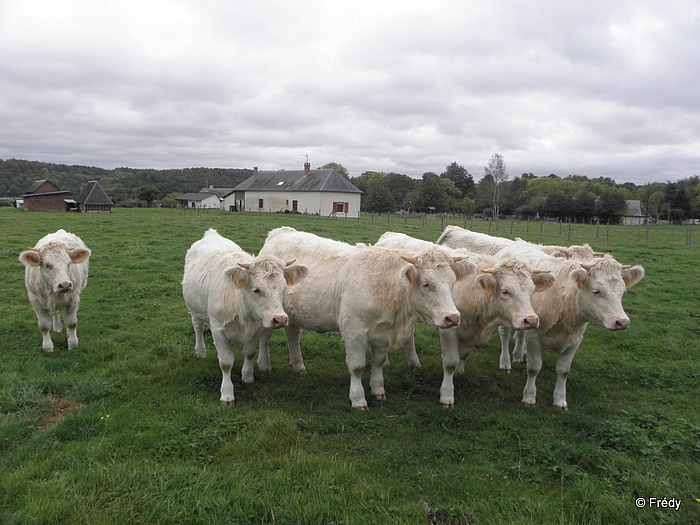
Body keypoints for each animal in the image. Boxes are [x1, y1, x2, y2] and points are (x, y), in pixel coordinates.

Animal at [182, 227, 308, 404]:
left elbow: (249, 352)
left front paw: (247, 376)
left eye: (284, 288)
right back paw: (200, 351)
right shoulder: (218, 330)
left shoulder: (256, 328)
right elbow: (226, 362)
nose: (280, 319)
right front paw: (227, 394)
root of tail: (211, 234)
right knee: (198, 327)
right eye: (256, 289)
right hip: (194, 308)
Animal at [254, 227, 474, 408]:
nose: (452, 317)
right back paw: (264, 365)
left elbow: (378, 361)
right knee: (264, 337)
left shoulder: (382, 331)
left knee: (292, 334)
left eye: (453, 282)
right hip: (270, 312)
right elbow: (357, 366)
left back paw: (298, 365)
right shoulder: (354, 330)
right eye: (426, 283)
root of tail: (281, 232)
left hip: (291, 313)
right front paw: (358, 399)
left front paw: (378, 390)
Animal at [374, 230, 556, 406]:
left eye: (532, 290)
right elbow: (450, 362)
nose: (530, 320)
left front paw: (460, 373)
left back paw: (414, 362)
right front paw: (447, 394)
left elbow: (463, 354)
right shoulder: (449, 327)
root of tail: (389, 235)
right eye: (505, 291)